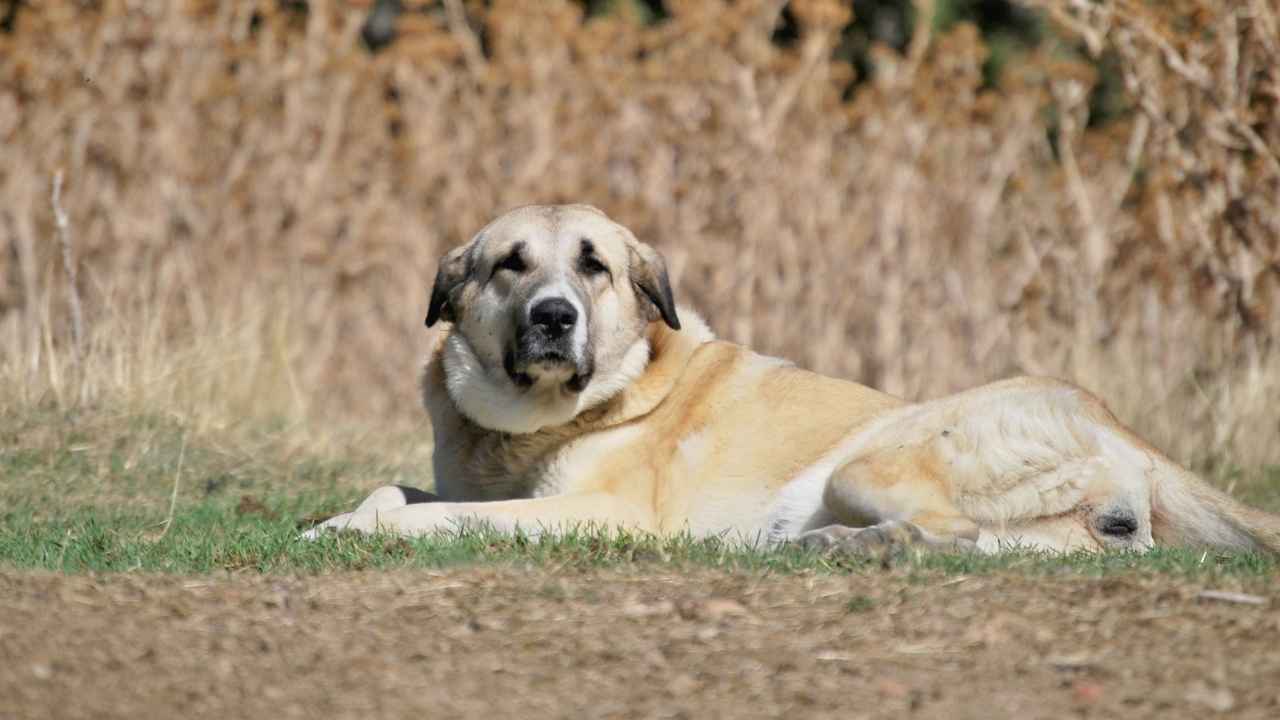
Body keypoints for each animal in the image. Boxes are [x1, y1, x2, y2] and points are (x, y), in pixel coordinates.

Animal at [307, 204, 1280, 550]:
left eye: (594, 268)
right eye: (510, 264)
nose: (554, 317)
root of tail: (1117, 422)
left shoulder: (603, 513)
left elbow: (444, 517)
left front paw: (355, 531)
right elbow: (395, 492)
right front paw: (337, 517)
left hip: (868, 462)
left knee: (949, 534)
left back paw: (837, 546)